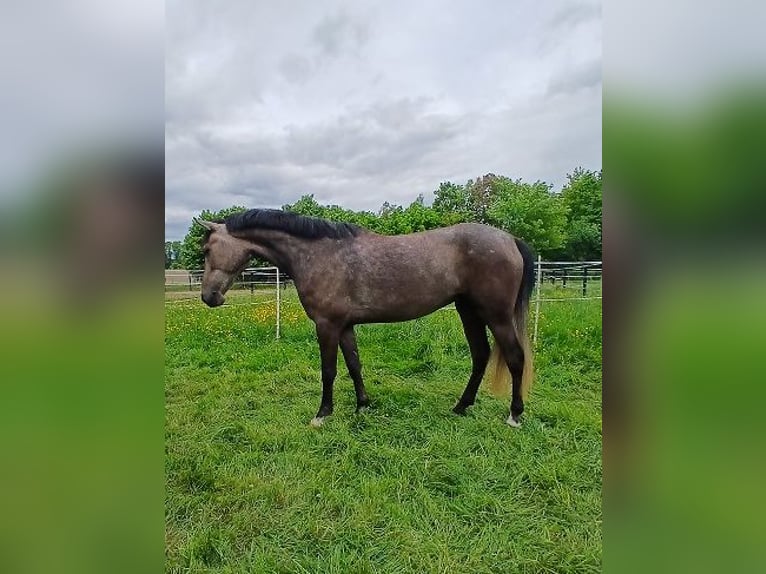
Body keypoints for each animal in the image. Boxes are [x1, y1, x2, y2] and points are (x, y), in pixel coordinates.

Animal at [196, 209, 536, 428]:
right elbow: (354, 365)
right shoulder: (345, 326)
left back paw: (514, 415)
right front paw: (363, 405)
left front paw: (322, 414)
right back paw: (461, 407)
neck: (318, 255)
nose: (209, 297)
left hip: (496, 315)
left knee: (515, 357)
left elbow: (329, 371)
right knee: (480, 356)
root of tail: (510, 239)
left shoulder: (327, 326)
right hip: (469, 311)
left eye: (208, 249)